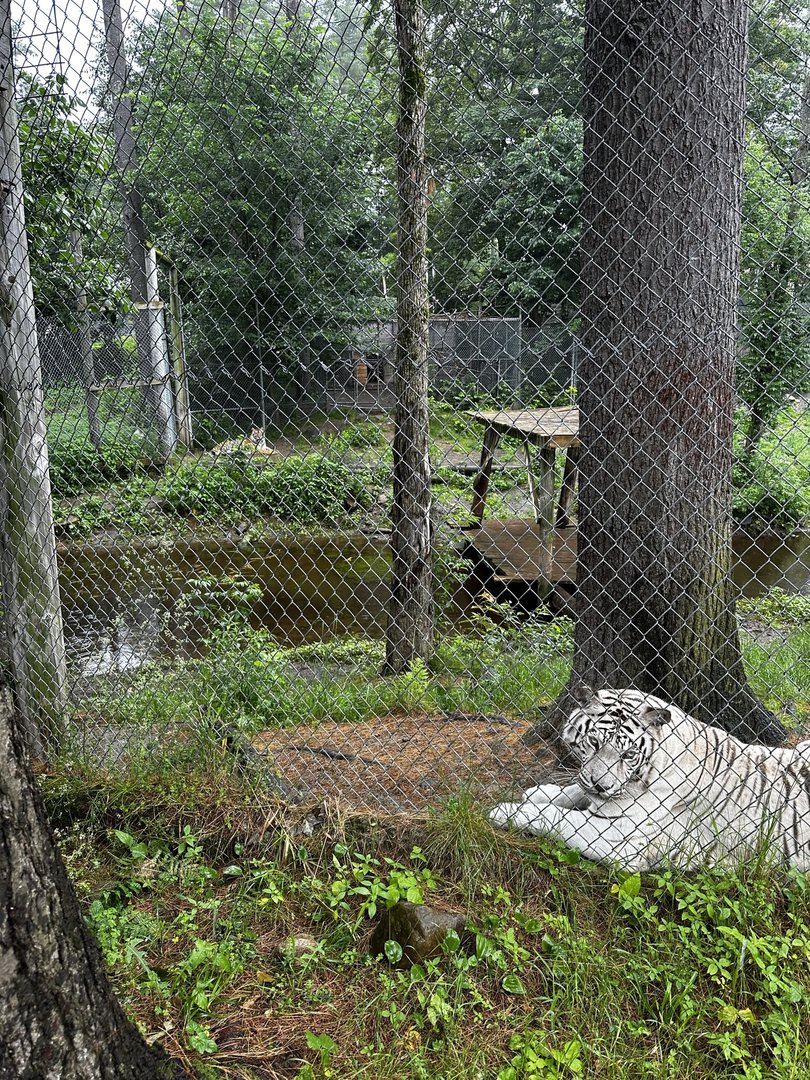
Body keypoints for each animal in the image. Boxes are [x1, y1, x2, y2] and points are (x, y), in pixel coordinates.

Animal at [489, 686, 810, 872]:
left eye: (628, 754)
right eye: (593, 742)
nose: (601, 785)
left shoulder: (622, 838)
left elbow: (558, 817)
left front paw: (505, 811)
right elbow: (574, 791)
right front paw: (540, 792)